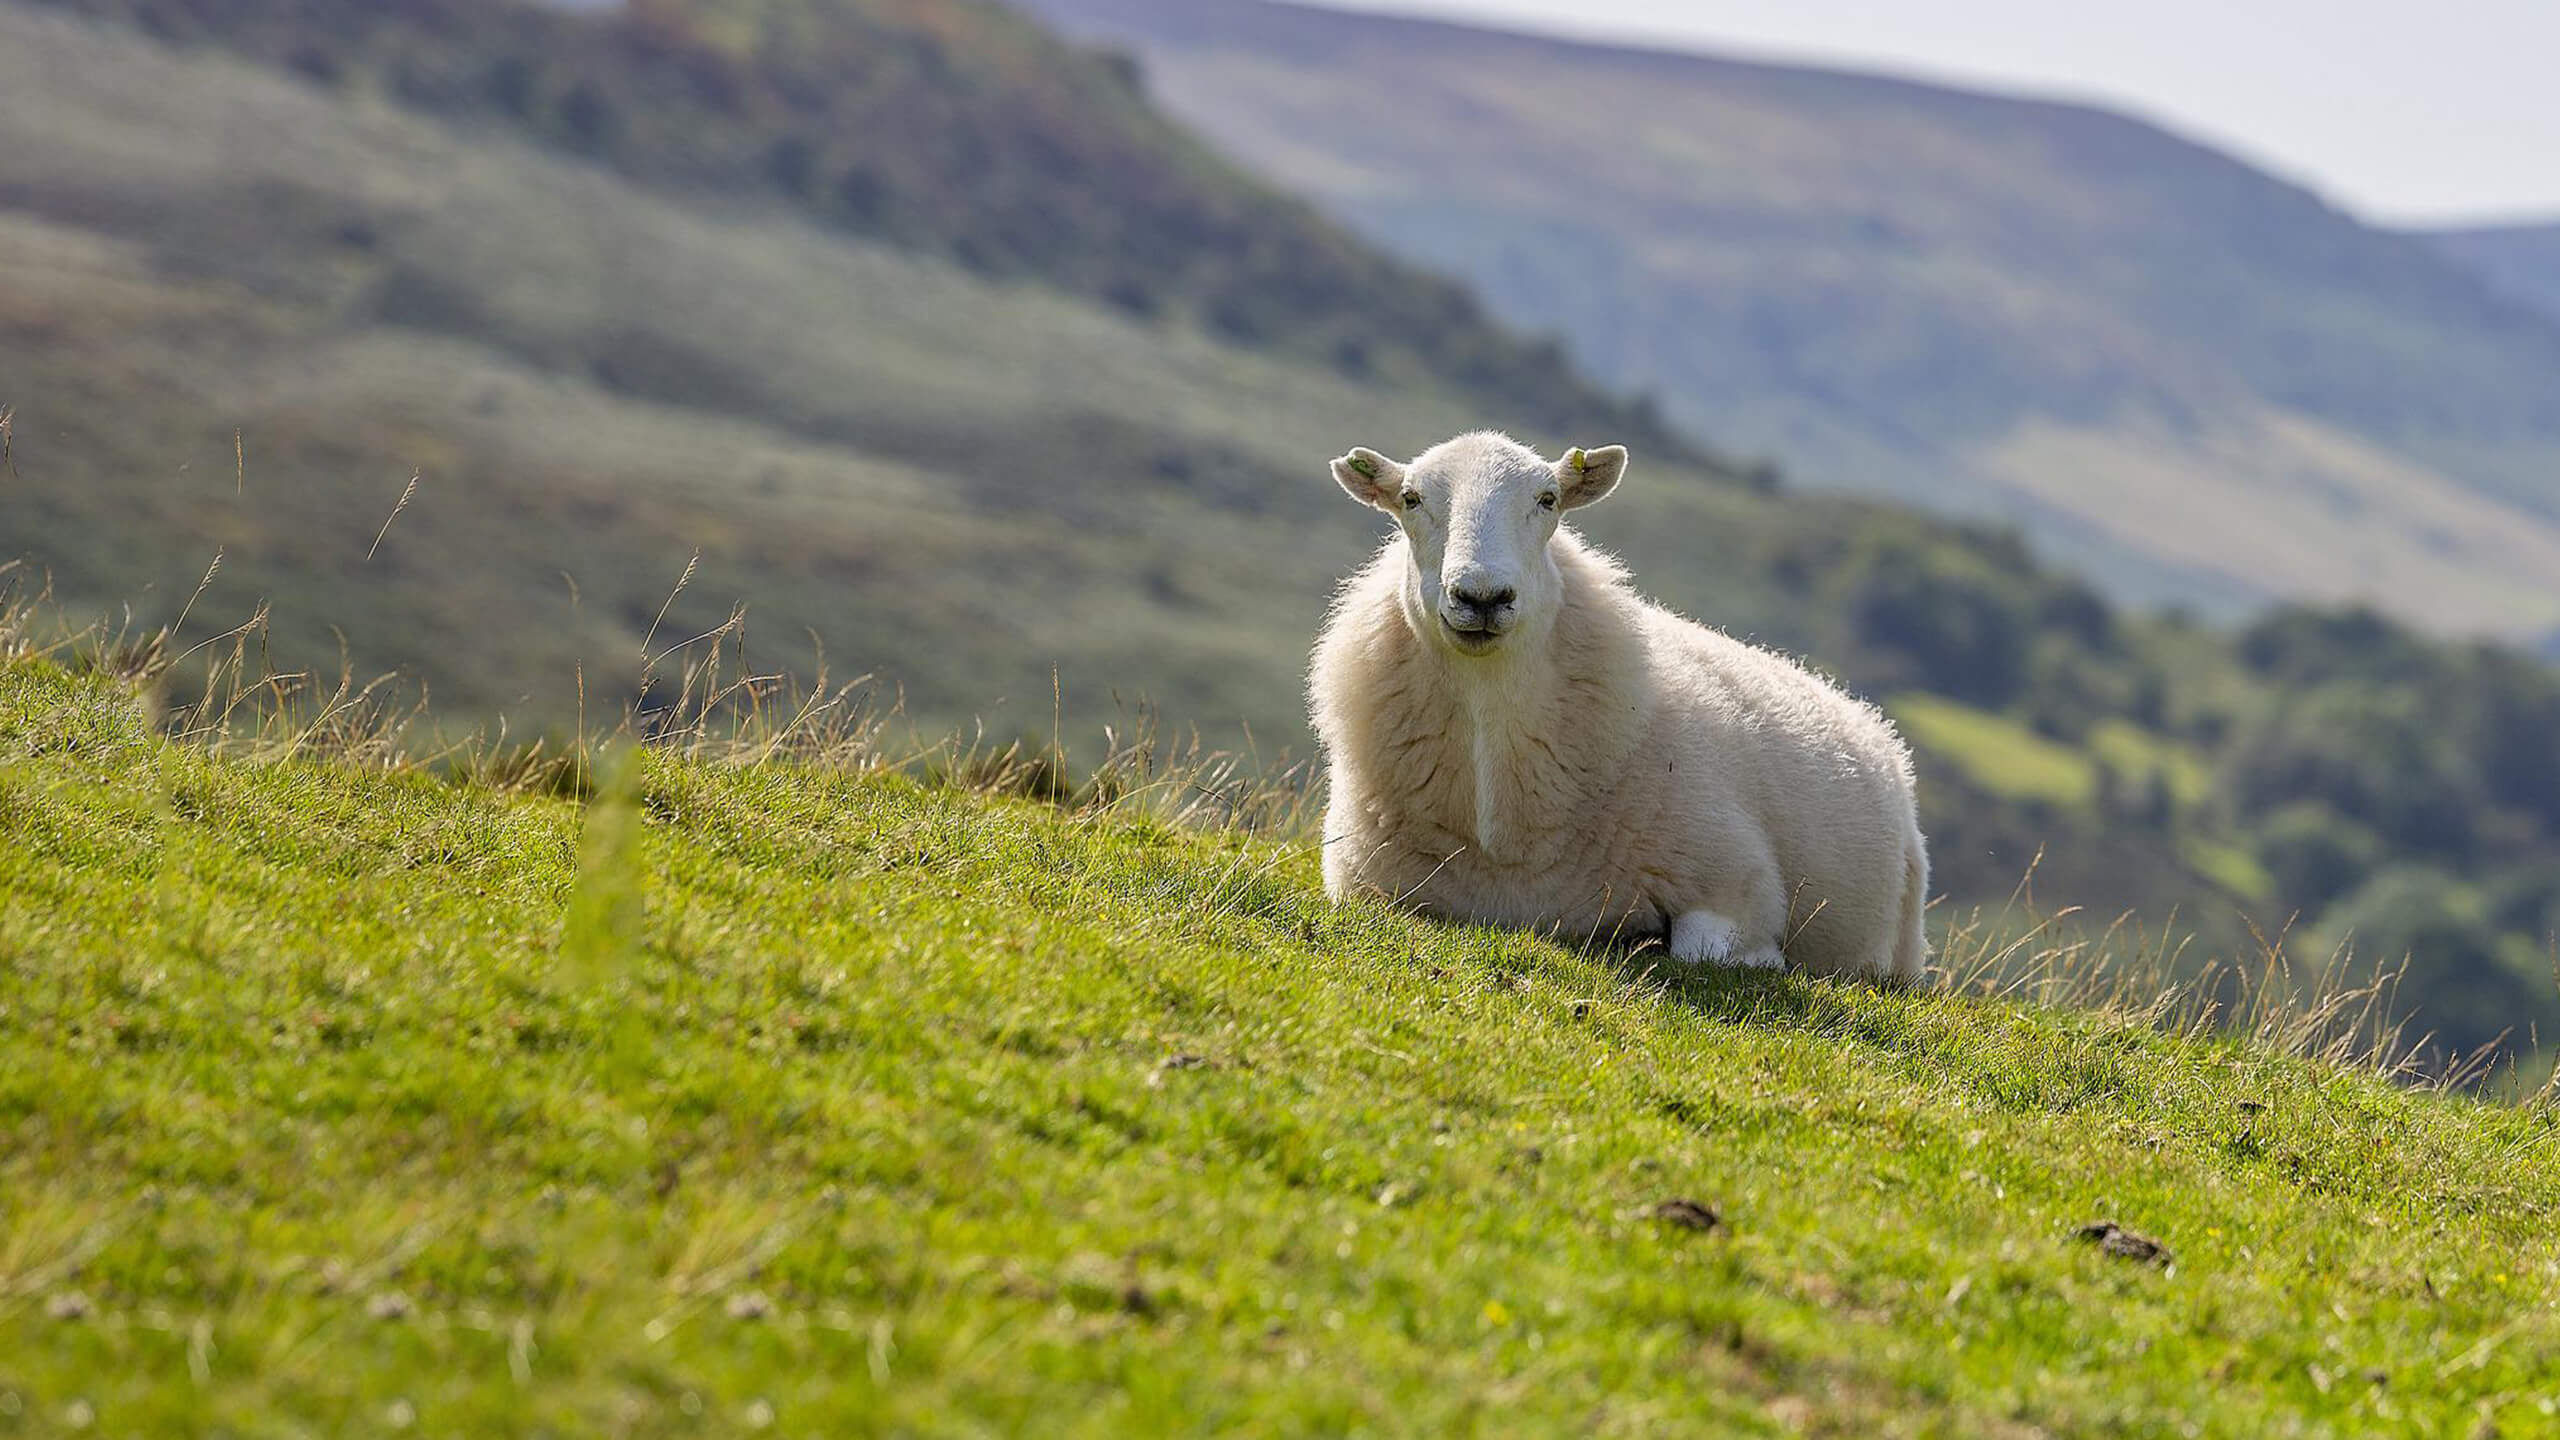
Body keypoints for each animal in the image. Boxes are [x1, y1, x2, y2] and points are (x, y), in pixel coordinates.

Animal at [1310, 430, 1925, 978]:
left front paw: (1765, 961)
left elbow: (1704, 952)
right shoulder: (1363, 888)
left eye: (1548, 499)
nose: (1481, 597)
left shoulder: (1735, 881)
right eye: (1411, 499)